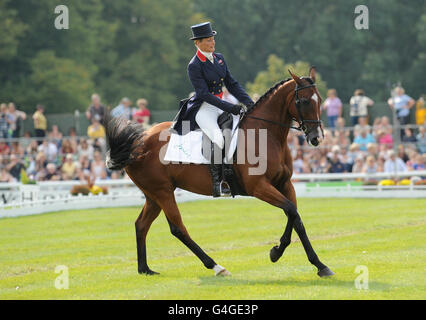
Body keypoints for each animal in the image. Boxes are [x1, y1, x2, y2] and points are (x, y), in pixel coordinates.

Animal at [105, 67, 334, 278]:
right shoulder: (259, 187)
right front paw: (286, 255)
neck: (266, 135)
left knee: (141, 225)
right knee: (177, 228)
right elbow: (291, 211)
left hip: (153, 194)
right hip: (162, 191)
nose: (317, 138)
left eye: (320, 100)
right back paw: (216, 266)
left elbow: (294, 216)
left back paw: (145, 269)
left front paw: (305, 260)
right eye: (303, 101)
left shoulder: (284, 183)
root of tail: (138, 143)